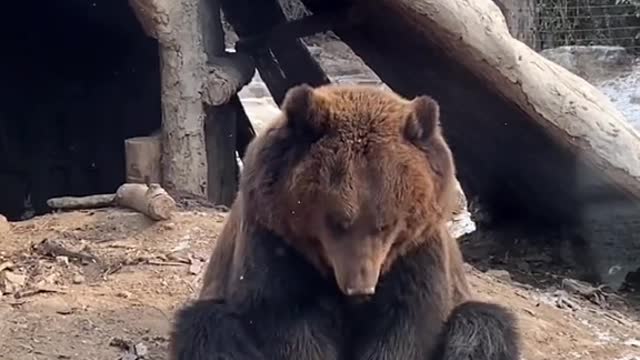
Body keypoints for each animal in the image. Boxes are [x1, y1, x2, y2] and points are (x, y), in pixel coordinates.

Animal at [168, 83, 516, 360]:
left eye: (387, 223)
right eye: (337, 221)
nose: (359, 287)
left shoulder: (416, 251)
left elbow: (407, 321)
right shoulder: (274, 239)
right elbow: (288, 318)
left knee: (483, 325)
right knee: (208, 328)